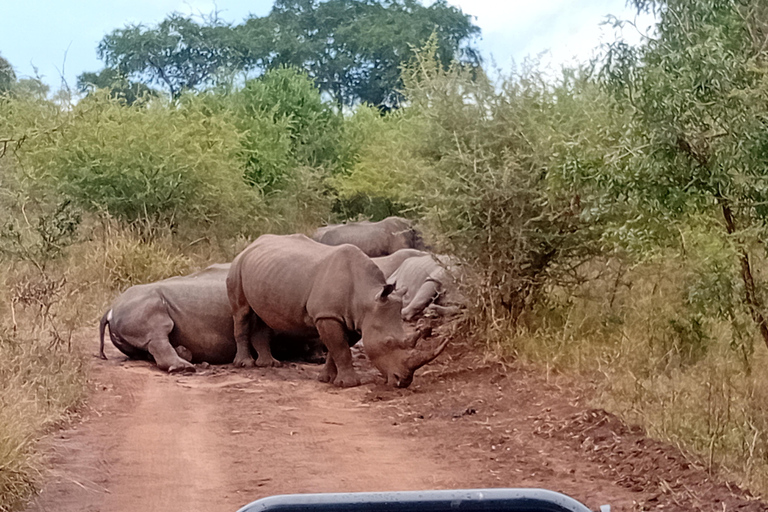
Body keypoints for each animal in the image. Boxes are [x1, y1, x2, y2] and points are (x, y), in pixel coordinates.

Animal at [226, 234, 447, 388]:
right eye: (388, 342)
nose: (403, 381)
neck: (367, 297)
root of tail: (251, 244)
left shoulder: (353, 319)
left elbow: (338, 348)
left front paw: (328, 379)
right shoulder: (327, 315)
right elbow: (340, 348)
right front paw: (348, 384)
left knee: (262, 316)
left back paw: (270, 364)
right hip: (237, 264)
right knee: (242, 312)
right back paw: (245, 364)